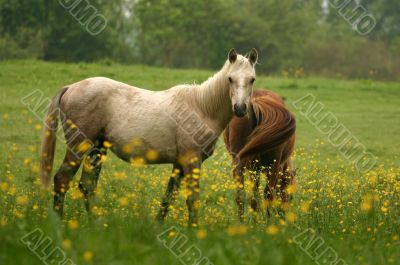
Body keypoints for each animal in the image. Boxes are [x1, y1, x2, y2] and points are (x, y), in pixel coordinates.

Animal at [41, 48, 260, 225]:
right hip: (79, 147)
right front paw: (194, 229)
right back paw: (59, 223)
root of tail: (70, 87)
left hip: (96, 150)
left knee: (86, 186)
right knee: (62, 180)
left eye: (252, 79)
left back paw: (96, 224)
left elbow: (169, 196)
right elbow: (192, 199)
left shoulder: (179, 163)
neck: (201, 108)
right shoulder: (191, 161)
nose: (240, 109)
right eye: (230, 79)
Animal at [223, 89, 296, 221]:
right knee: (268, 195)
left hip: (239, 165)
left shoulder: (254, 169)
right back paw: (268, 222)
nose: (284, 214)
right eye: (290, 194)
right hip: (273, 167)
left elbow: (254, 196)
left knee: (240, 195)